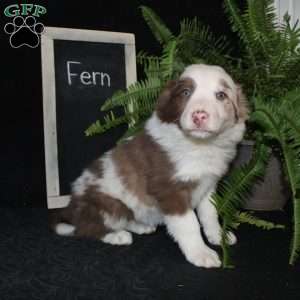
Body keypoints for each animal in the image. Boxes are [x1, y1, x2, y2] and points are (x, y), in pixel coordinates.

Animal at [53, 63, 248, 268]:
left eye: (221, 95)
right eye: (186, 92)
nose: (199, 116)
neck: (199, 145)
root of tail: (72, 206)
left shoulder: (208, 184)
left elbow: (210, 214)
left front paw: (218, 236)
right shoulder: (169, 189)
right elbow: (189, 223)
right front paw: (200, 253)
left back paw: (141, 226)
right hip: (109, 204)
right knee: (86, 228)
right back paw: (117, 236)